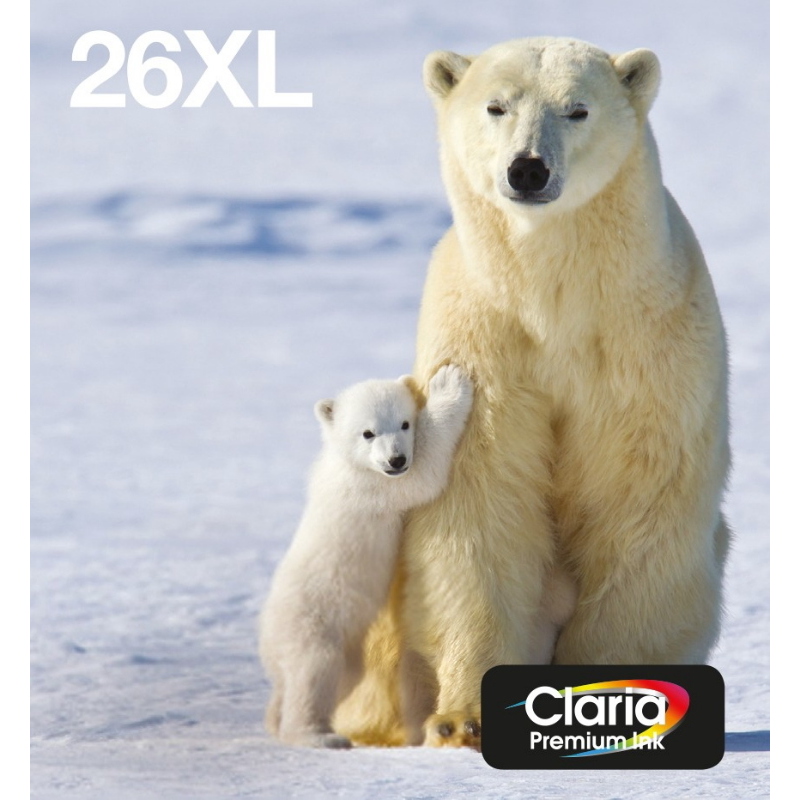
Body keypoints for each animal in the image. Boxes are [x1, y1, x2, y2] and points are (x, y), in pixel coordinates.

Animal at [259, 365, 473, 748]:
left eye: (404, 423)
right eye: (368, 432)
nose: (396, 459)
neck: (346, 463)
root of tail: (268, 645)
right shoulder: (373, 487)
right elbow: (423, 474)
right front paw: (448, 384)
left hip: (347, 651)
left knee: (340, 679)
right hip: (311, 626)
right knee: (313, 672)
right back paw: (320, 736)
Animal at [333, 36, 731, 749]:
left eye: (577, 109)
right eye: (497, 106)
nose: (527, 170)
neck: (555, 298)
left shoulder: (645, 345)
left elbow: (637, 500)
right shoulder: (486, 342)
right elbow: (481, 503)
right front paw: (463, 719)